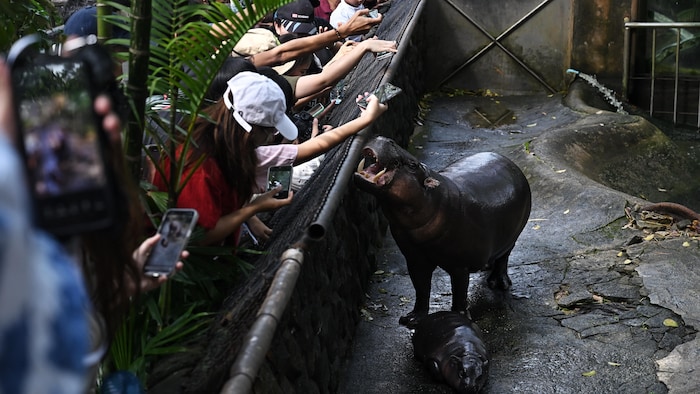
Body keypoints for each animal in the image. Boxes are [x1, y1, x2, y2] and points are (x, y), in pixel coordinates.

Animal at [356, 137, 532, 328]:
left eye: (413, 164)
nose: (384, 138)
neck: (433, 200)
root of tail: (511, 163)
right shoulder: (415, 259)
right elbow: (421, 289)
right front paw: (411, 319)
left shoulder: (459, 265)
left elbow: (459, 292)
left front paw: (460, 317)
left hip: (512, 237)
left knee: (503, 258)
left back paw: (498, 283)